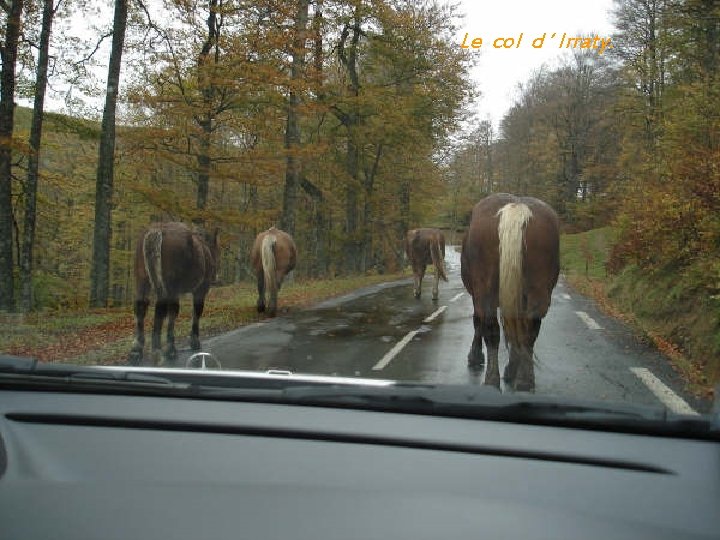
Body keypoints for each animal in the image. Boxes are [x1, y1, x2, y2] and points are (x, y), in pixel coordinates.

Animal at [129, 222, 219, 366]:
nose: (215, 277)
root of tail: (157, 229)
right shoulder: (200, 290)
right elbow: (195, 312)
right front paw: (192, 342)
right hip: (169, 286)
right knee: (162, 309)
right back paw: (160, 350)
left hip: (142, 280)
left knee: (141, 308)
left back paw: (136, 350)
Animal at [461, 193, 559, 392]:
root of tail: (516, 206)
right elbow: (515, 329)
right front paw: (513, 367)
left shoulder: (476, 295)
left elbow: (478, 322)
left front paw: (475, 356)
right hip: (537, 290)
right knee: (529, 328)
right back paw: (525, 379)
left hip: (484, 291)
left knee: (490, 328)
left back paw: (492, 379)